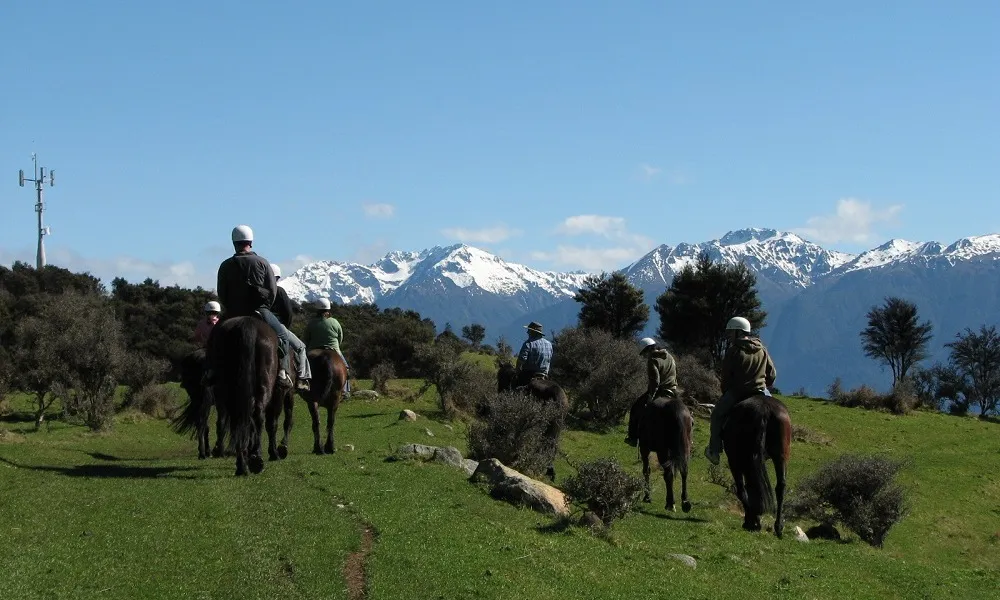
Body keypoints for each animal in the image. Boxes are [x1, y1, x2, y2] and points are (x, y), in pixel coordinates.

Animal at [208, 315, 280, 476]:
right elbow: (271, 424)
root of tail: (247, 324)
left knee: (238, 420)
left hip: (228, 389)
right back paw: (255, 459)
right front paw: (272, 453)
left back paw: (242, 464)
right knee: (257, 416)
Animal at [721, 393, 792, 537]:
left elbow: (745, 489)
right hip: (781, 455)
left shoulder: (737, 461)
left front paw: (752, 520)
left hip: (737, 460)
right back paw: (778, 527)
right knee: (780, 486)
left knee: (742, 488)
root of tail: (764, 407)